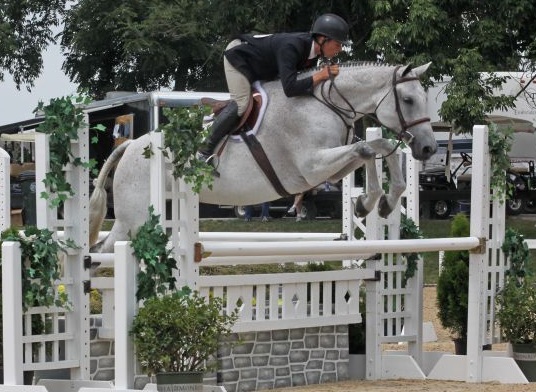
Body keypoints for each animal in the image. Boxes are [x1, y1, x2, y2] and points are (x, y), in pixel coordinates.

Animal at [90, 61, 438, 251]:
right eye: (408, 100)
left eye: (424, 98)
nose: (428, 148)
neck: (326, 104)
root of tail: (130, 146)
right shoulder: (312, 167)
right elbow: (367, 148)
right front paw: (371, 201)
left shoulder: (333, 170)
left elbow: (378, 148)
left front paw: (379, 201)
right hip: (135, 219)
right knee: (106, 250)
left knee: (102, 249)